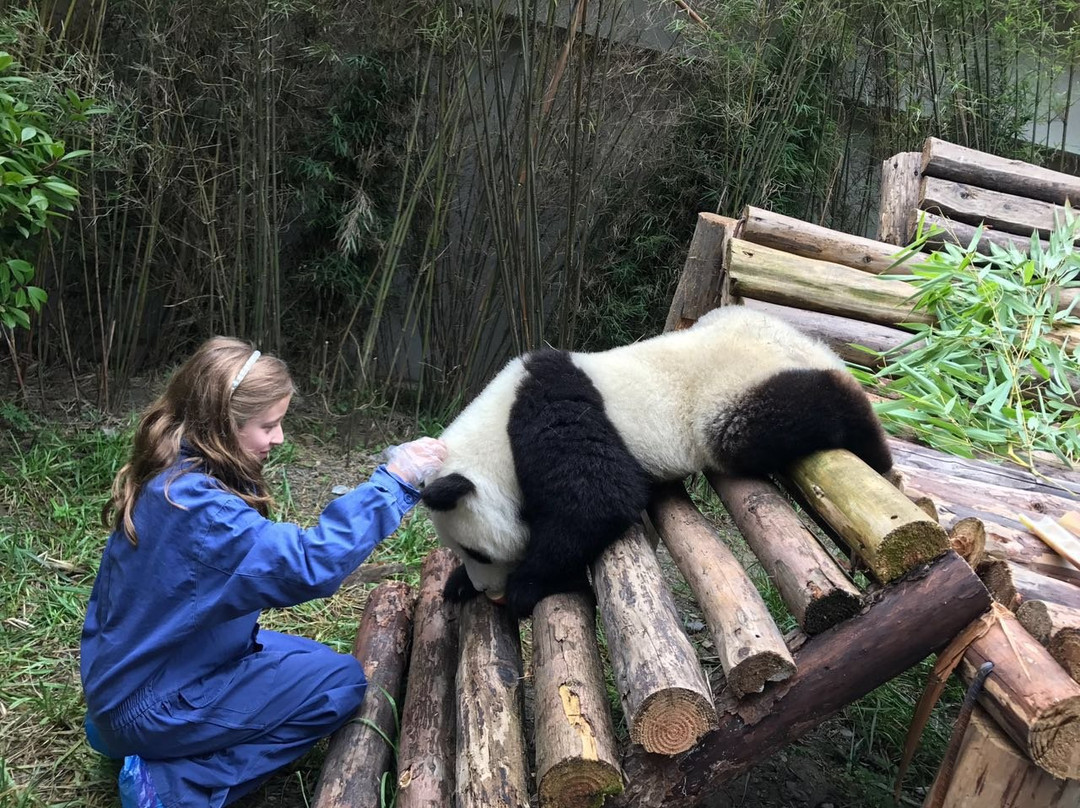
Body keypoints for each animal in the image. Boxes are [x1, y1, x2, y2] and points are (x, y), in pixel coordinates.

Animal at [421, 305, 893, 619]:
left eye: (477, 551)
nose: (489, 591)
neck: (496, 430)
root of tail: (805, 344)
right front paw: (459, 584)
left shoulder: (552, 413)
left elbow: (598, 502)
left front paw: (525, 585)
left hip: (734, 392)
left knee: (800, 413)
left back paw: (879, 456)